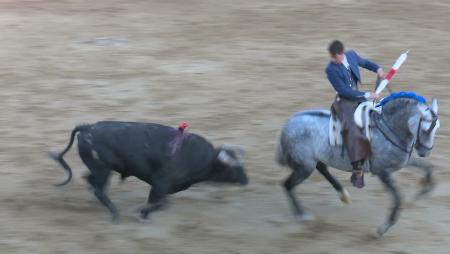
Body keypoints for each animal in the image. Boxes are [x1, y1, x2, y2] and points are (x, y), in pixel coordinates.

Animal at [50, 121, 248, 220]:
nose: (246, 180)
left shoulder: (165, 187)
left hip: (100, 169)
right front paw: (143, 212)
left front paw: (145, 212)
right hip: (102, 169)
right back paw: (114, 213)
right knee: (98, 188)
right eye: (234, 168)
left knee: (91, 181)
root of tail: (87, 127)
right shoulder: (161, 183)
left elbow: (161, 202)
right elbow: (161, 202)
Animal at [278, 94, 440, 236]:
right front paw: (382, 229)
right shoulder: (383, 172)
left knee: (322, 169)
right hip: (305, 166)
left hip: (313, 160)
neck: (388, 127)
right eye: (426, 129)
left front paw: (424, 191)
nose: (425, 151)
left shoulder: (404, 161)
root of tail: (289, 123)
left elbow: (428, 168)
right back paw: (303, 216)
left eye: (437, 127)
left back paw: (343, 195)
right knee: (287, 184)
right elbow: (398, 198)